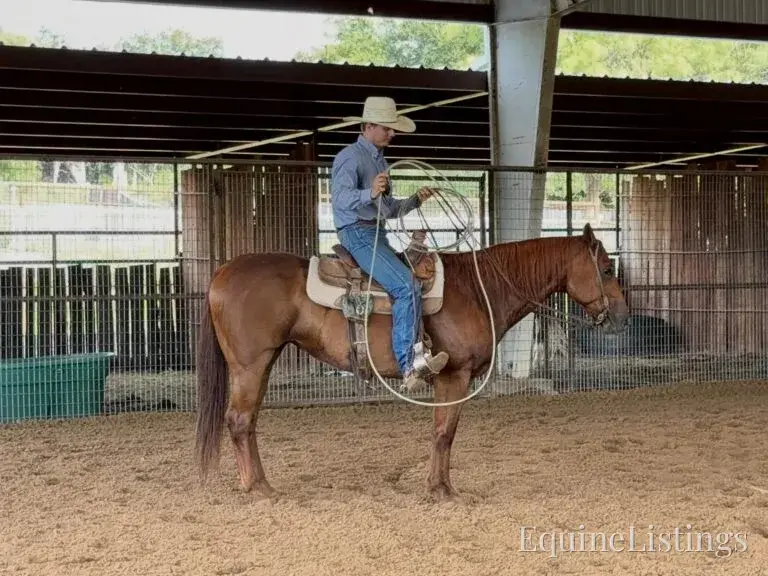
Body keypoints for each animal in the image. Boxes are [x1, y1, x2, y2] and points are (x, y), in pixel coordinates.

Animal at [194, 223, 630, 501]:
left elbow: (444, 432)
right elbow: (444, 433)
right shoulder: (454, 376)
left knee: (249, 422)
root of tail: (222, 272)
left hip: (262, 364)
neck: (478, 289)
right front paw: (442, 491)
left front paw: (441, 486)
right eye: (607, 268)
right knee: (238, 421)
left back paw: (260, 483)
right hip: (250, 366)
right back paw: (258, 489)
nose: (622, 317)